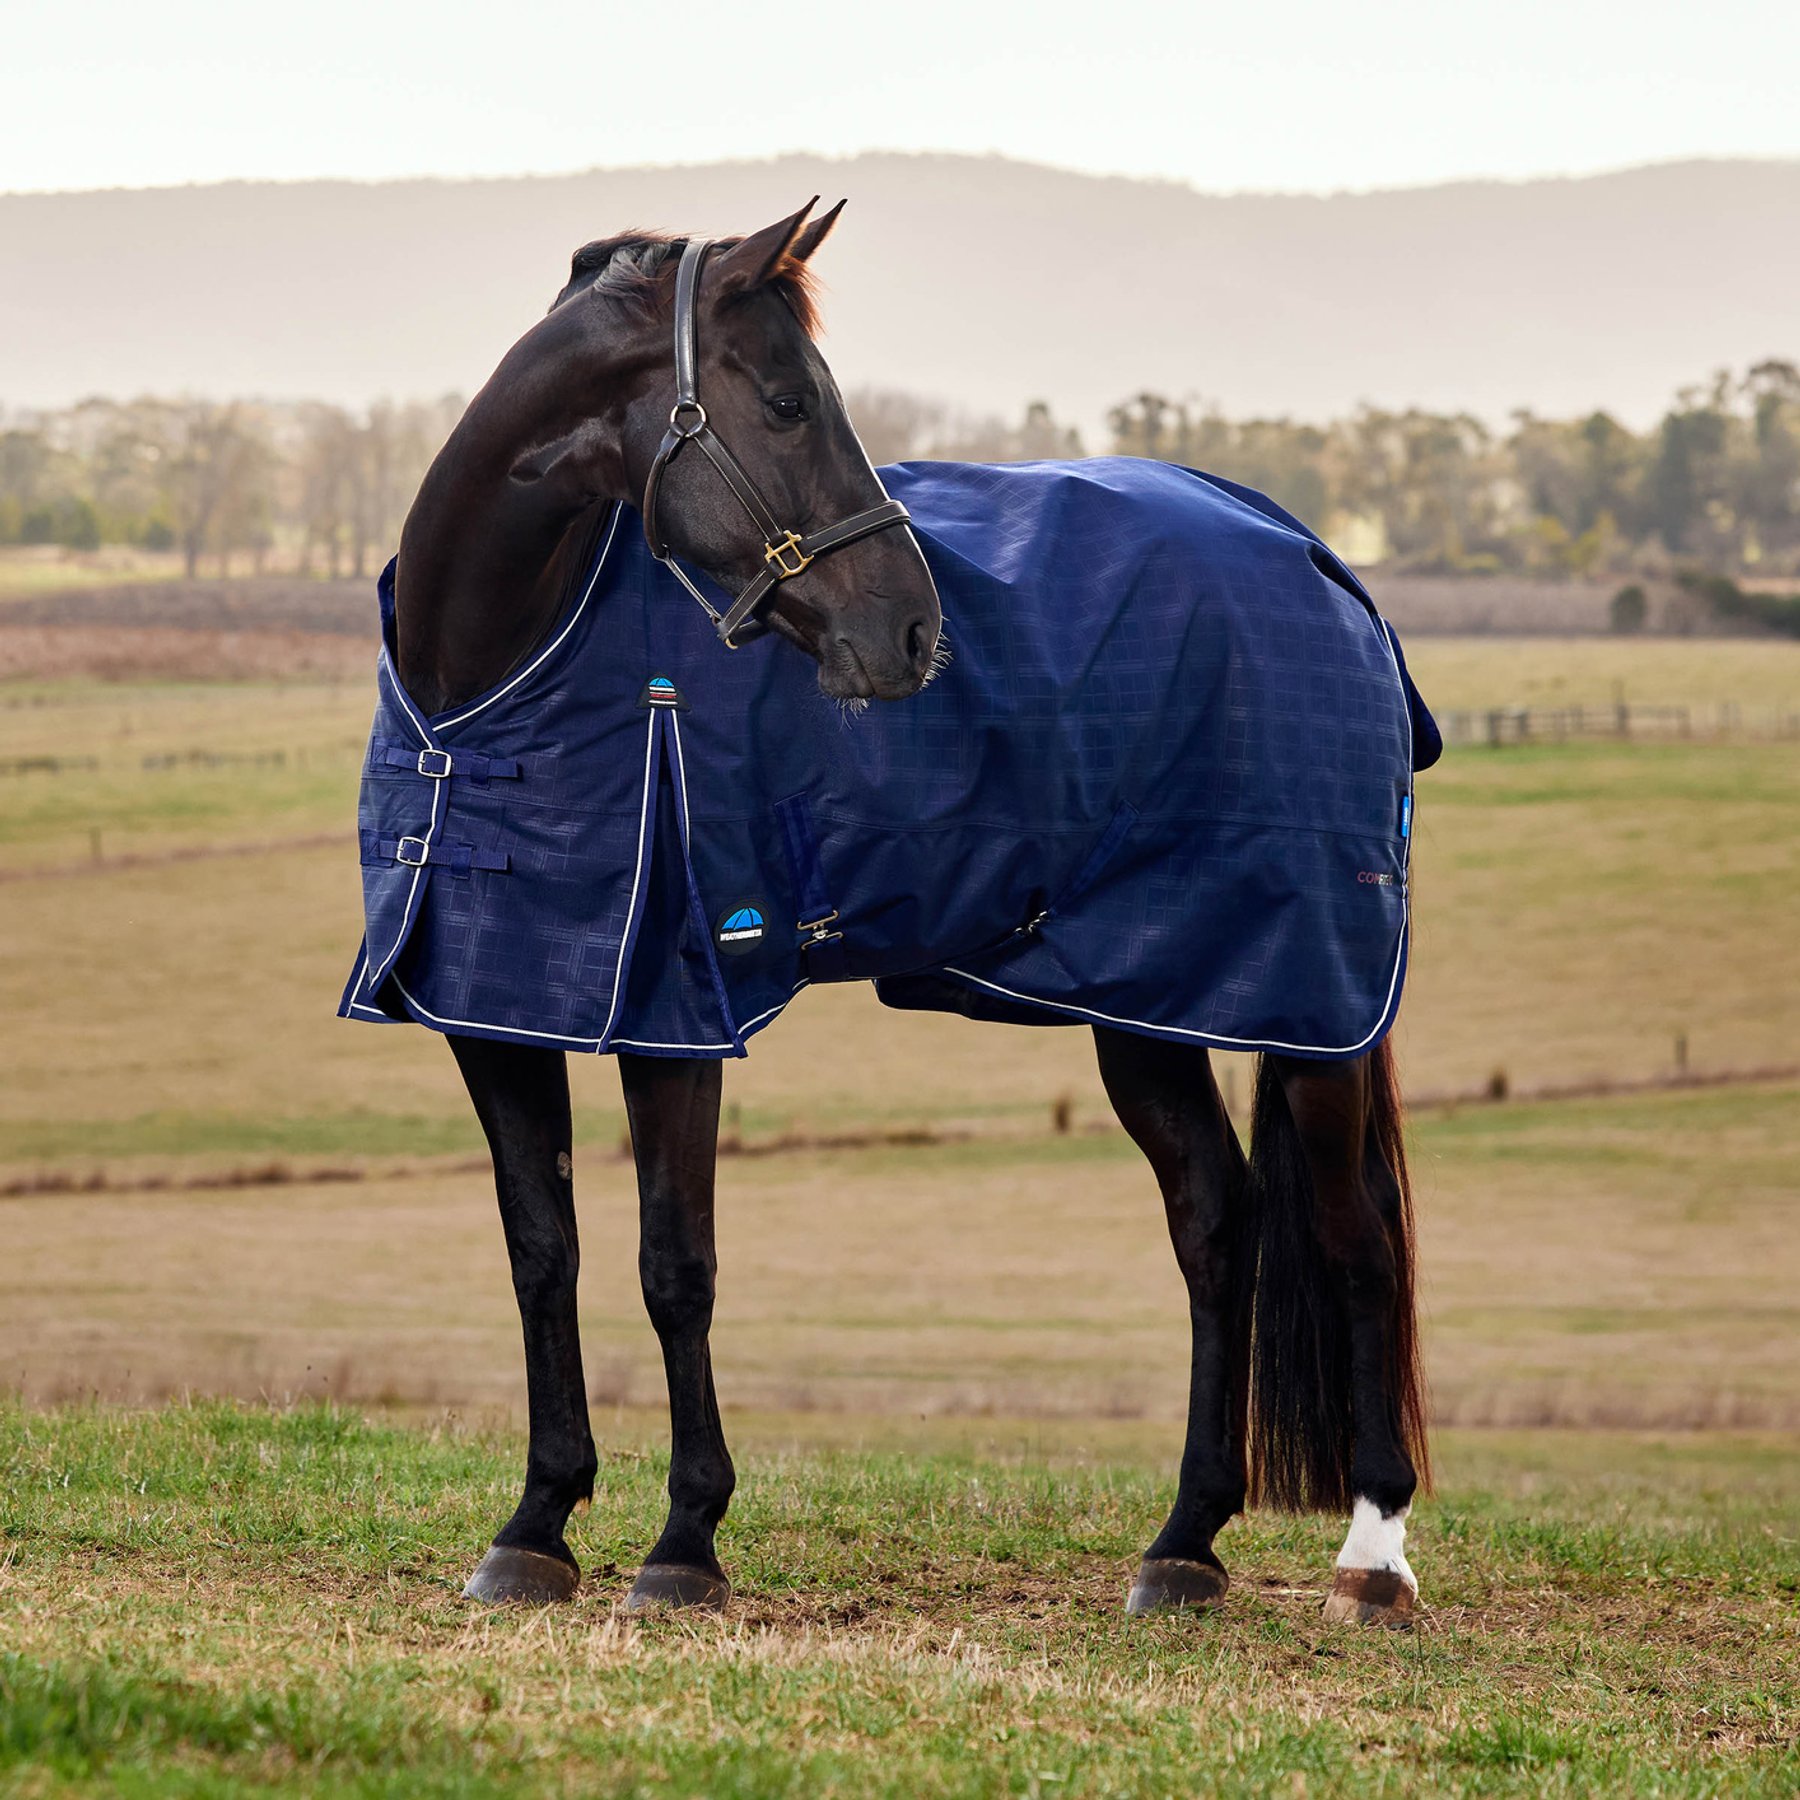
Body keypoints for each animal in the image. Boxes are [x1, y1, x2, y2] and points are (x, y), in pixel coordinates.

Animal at [347, 200, 1432, 1627]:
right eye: (788, 402)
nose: (915, 636)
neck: (489, 687)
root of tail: (1325, 571)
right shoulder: (497, 1007)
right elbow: (545, 1253)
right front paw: (536, 1526)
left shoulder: (677, 1016)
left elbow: (674, 1267)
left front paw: (683, 1544)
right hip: (1147, 1001)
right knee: (1217, 1221)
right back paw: (1183, 1544)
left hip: (1311, 1000)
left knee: (1356, 1239)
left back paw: (1373, 1558)